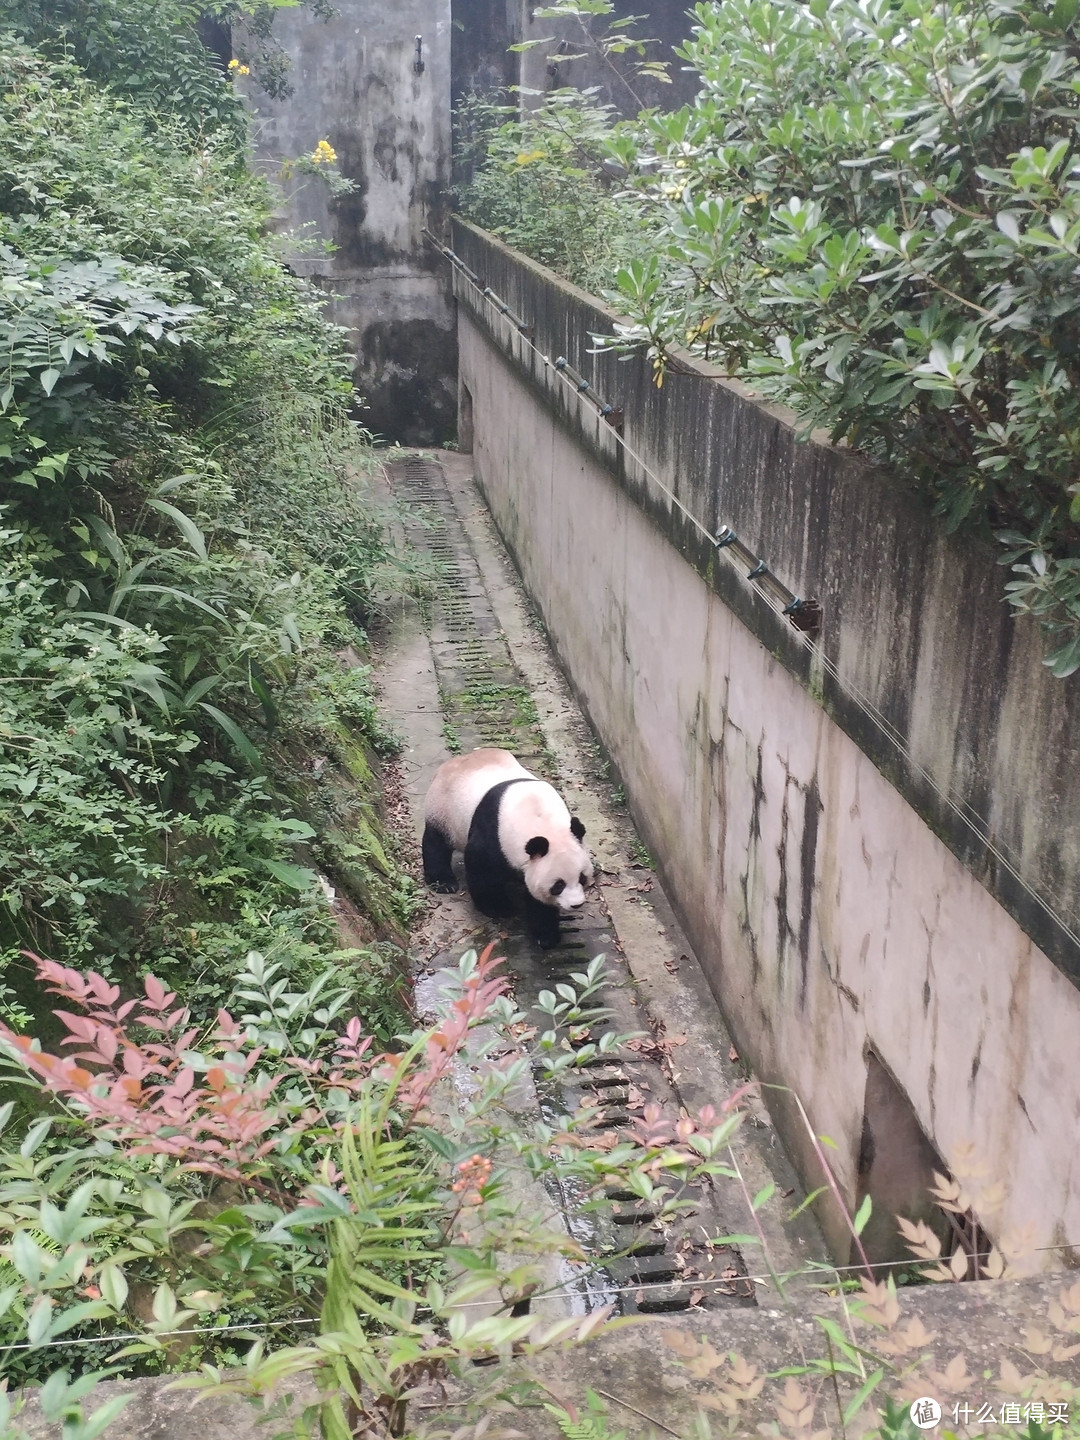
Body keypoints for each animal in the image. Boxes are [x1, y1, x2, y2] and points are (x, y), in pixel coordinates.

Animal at [423, 748, 596, 950]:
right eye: (558, 885)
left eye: (582, 878)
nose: (577, 905)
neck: (540, 820)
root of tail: (455, 761)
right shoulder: (493, 835)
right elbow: (482, 870)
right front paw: (499, 907)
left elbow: (537, 899)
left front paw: (546, 935)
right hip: (443, 809)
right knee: (436, 843)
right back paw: (443, 882)